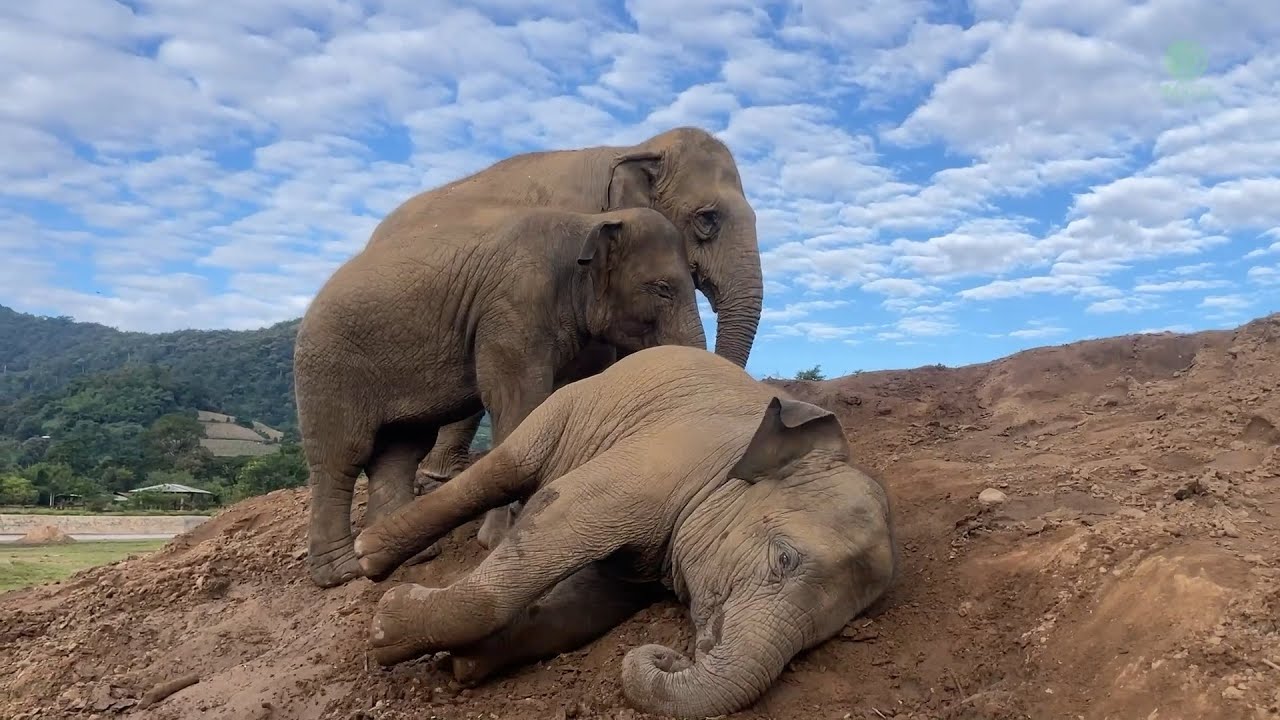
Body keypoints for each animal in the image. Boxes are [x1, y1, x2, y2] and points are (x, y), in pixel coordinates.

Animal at [294, 205, 708, 588]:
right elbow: (519, 405)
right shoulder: (514, 310)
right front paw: (495, 541)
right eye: (662, 288)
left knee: (400, 450)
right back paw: (342, 573)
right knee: (344, 456)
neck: (589, 222)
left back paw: (413, 557)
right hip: (328, 369)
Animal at [353, 344, 899, 719]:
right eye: (783, 559)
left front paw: (464, 665)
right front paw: (388, 625)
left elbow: (591, 602)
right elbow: (565, 515)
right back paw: (369, 556)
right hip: (567, 404)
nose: (667, 655)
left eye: (834, 631)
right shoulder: (661, 460)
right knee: (502, 472)